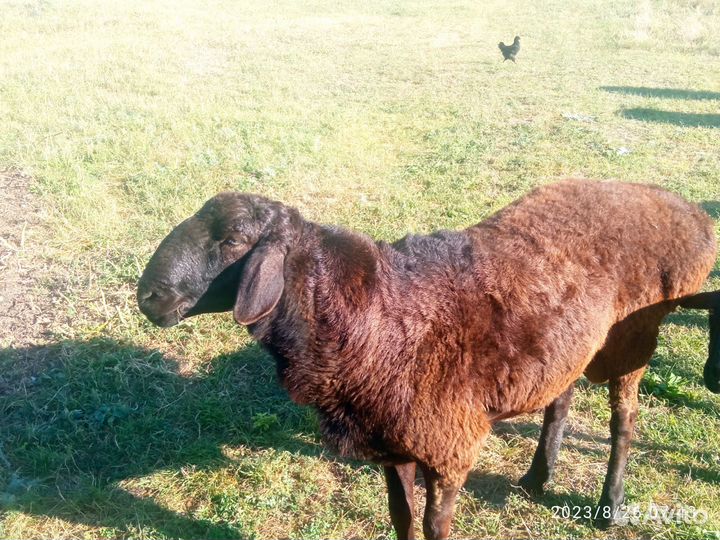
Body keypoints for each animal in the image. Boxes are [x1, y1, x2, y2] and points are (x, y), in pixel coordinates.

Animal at [137, 179, 719, 539]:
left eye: (234, 239)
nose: (149, 297)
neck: (371, 314)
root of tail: (686, 210)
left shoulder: (447, 443)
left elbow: (436, 526)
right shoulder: (393, 441)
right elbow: (401, 518)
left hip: (632, 336)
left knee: (625, 419)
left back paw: (610, 507)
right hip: (573, 343)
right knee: (561, 397)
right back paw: (537, 477)